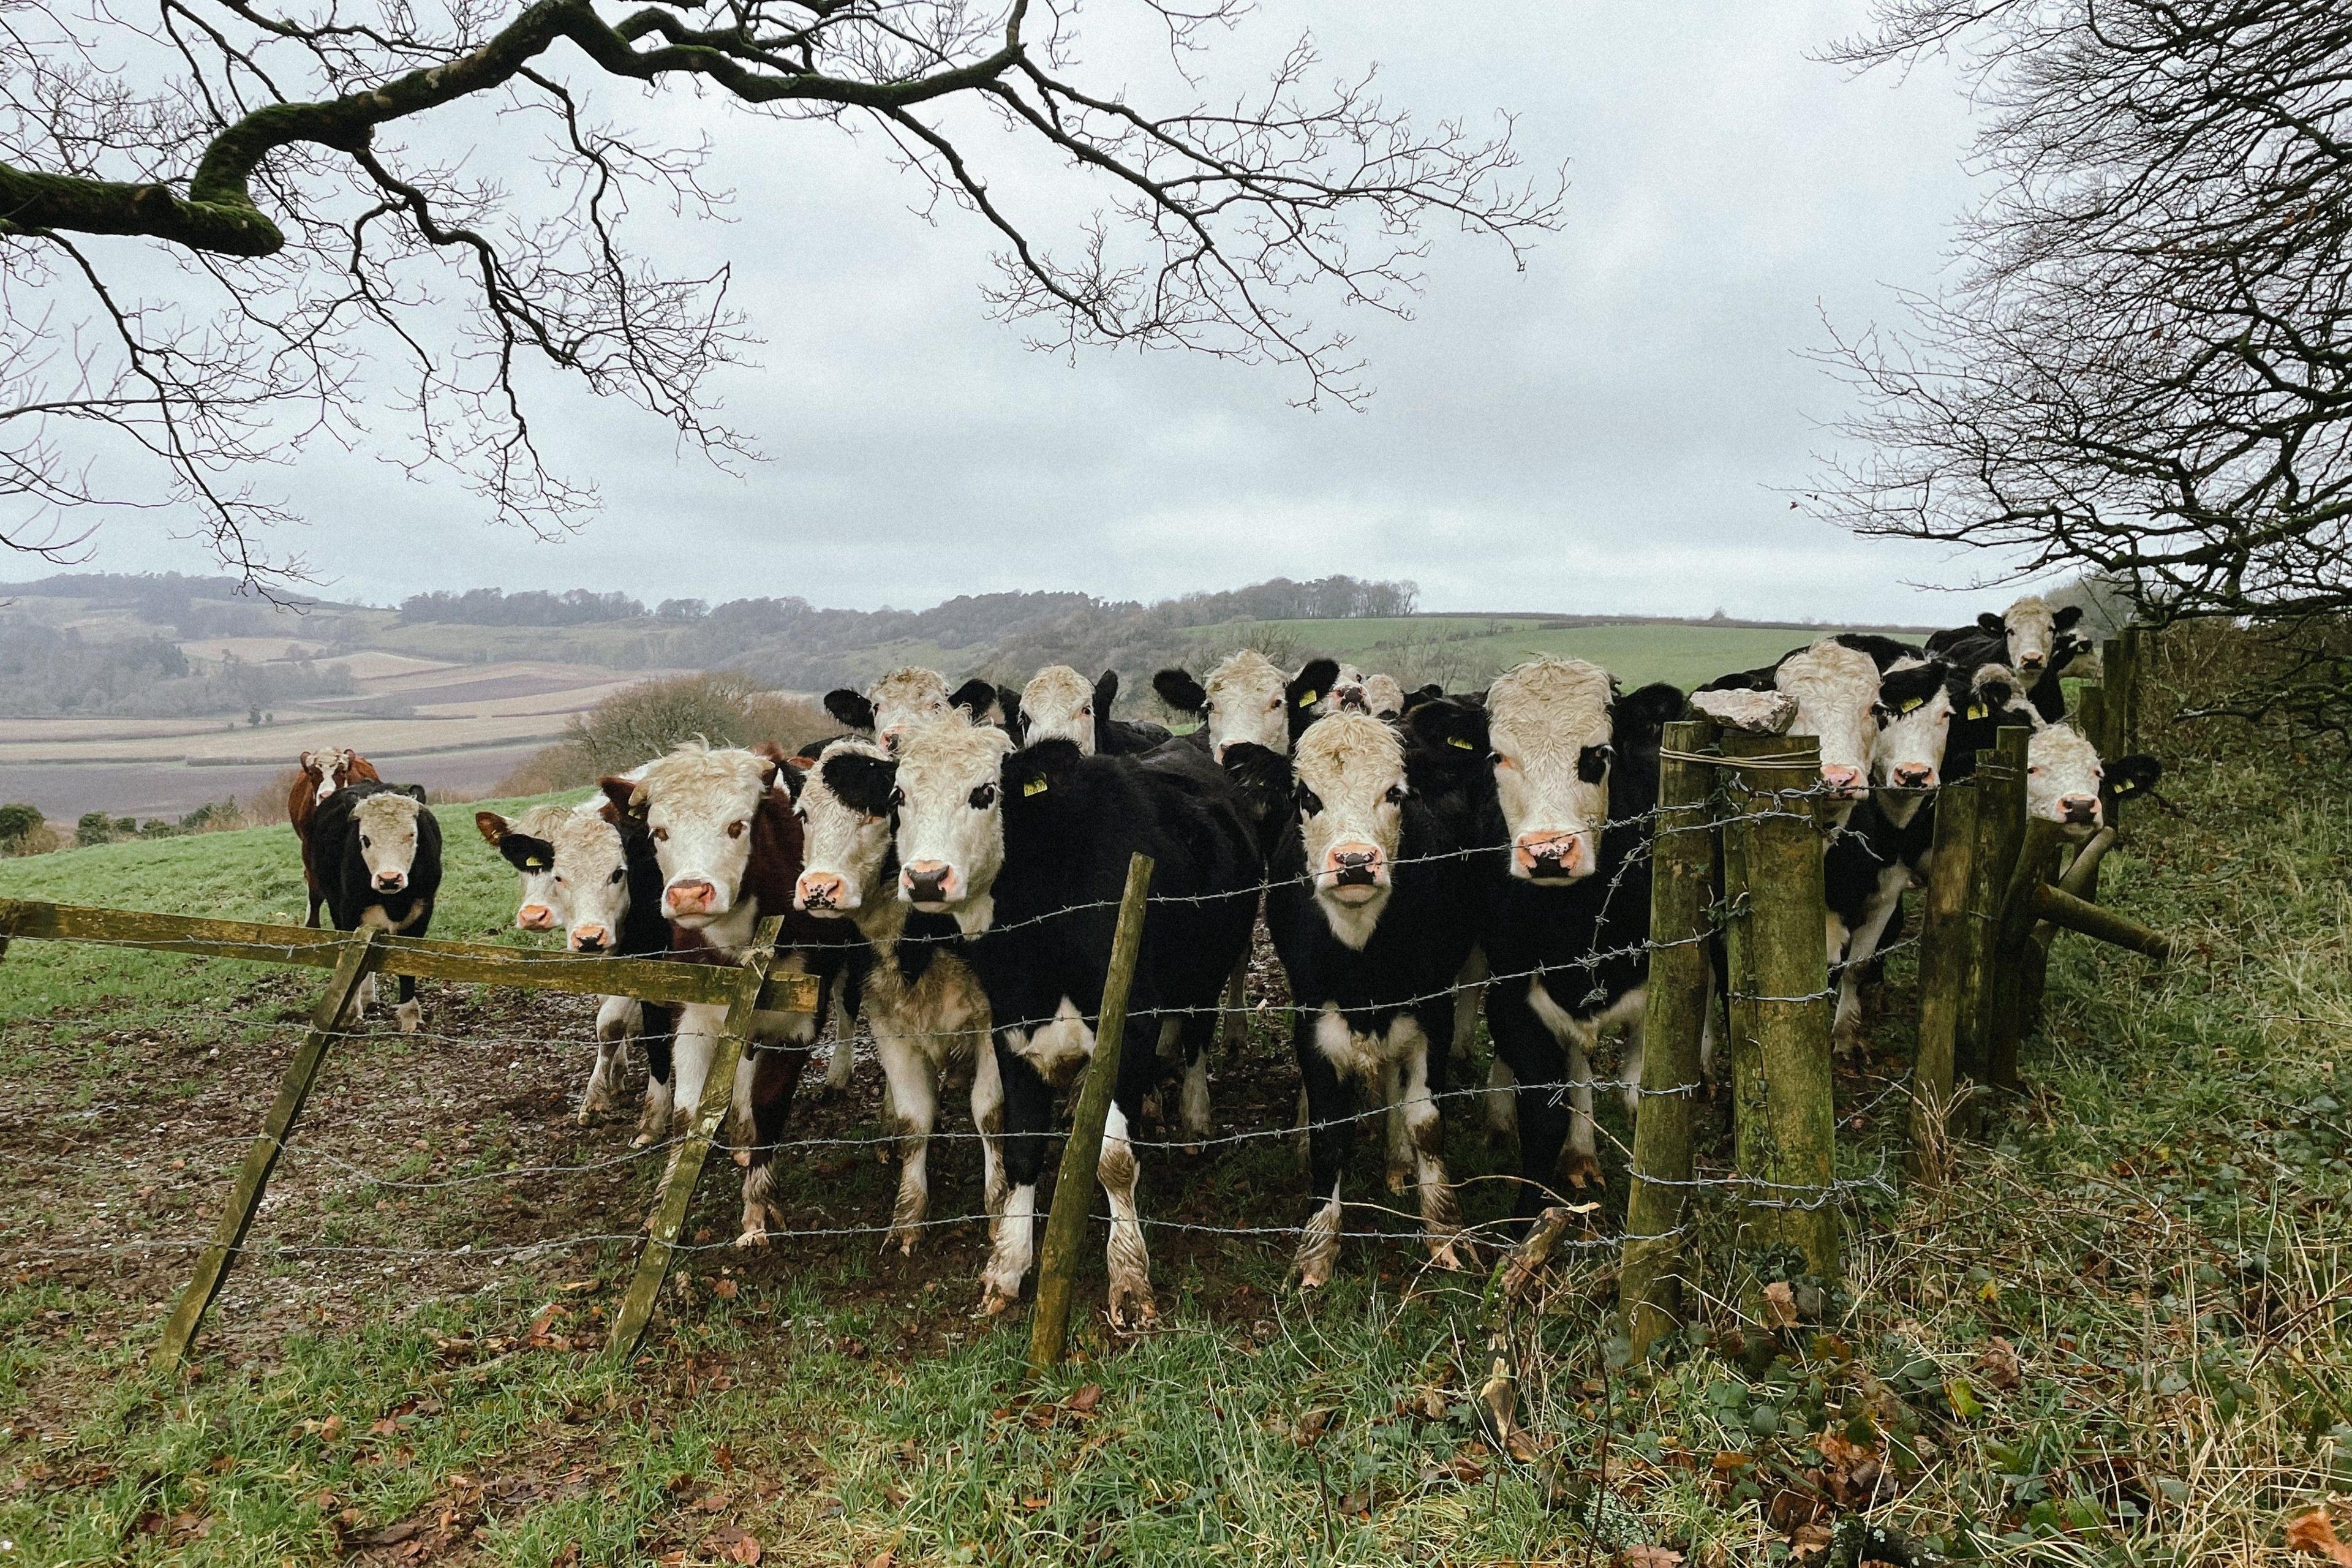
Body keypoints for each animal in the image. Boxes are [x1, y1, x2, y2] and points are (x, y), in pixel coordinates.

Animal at [294, 747, 385, 926]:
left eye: (342, 771)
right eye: (312, 773)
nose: (326, 795)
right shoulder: (308, 847)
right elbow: (315, 891)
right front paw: (312, 925)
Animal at [308, 780, 442, 1030]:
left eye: (412, 834)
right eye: (365, 839)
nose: (389, 879)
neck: (394, 902)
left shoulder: (421, 913)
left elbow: (407, 967)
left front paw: (410, 1017)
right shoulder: (349, 914)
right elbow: (353, 966)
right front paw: (350, 1012)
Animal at [794, 742, 1006, 1260]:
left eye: (878, 811)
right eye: (804, 815)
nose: (818, 889)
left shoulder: (993, 1021)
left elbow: (990, 1114)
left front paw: (998, 1209)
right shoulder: (886, 1018)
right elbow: (915, 1120)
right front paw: (908, 1216)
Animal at [884, 724, 1261, 1325]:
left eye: (986, 792)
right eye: (899, 796)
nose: (925, 879)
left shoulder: (1129, 1028)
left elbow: (1115, 1161)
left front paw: (1128, 1277)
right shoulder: (1010, 1032)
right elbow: (1021, 1149)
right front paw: (1007, 1266)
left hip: (1209, 969)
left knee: (1197, 1038)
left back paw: (1195, 1116)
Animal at [1261, 710, 1477, 1288]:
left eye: (1395, 793)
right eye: (1307, 797)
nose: (1355, 862)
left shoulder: (1435, 1012)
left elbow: (1427, 1123)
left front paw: (1445, 1233)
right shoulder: (1312, 1024)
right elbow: (1330, 1135)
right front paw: (1317, 1253)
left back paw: (1398, 1162)